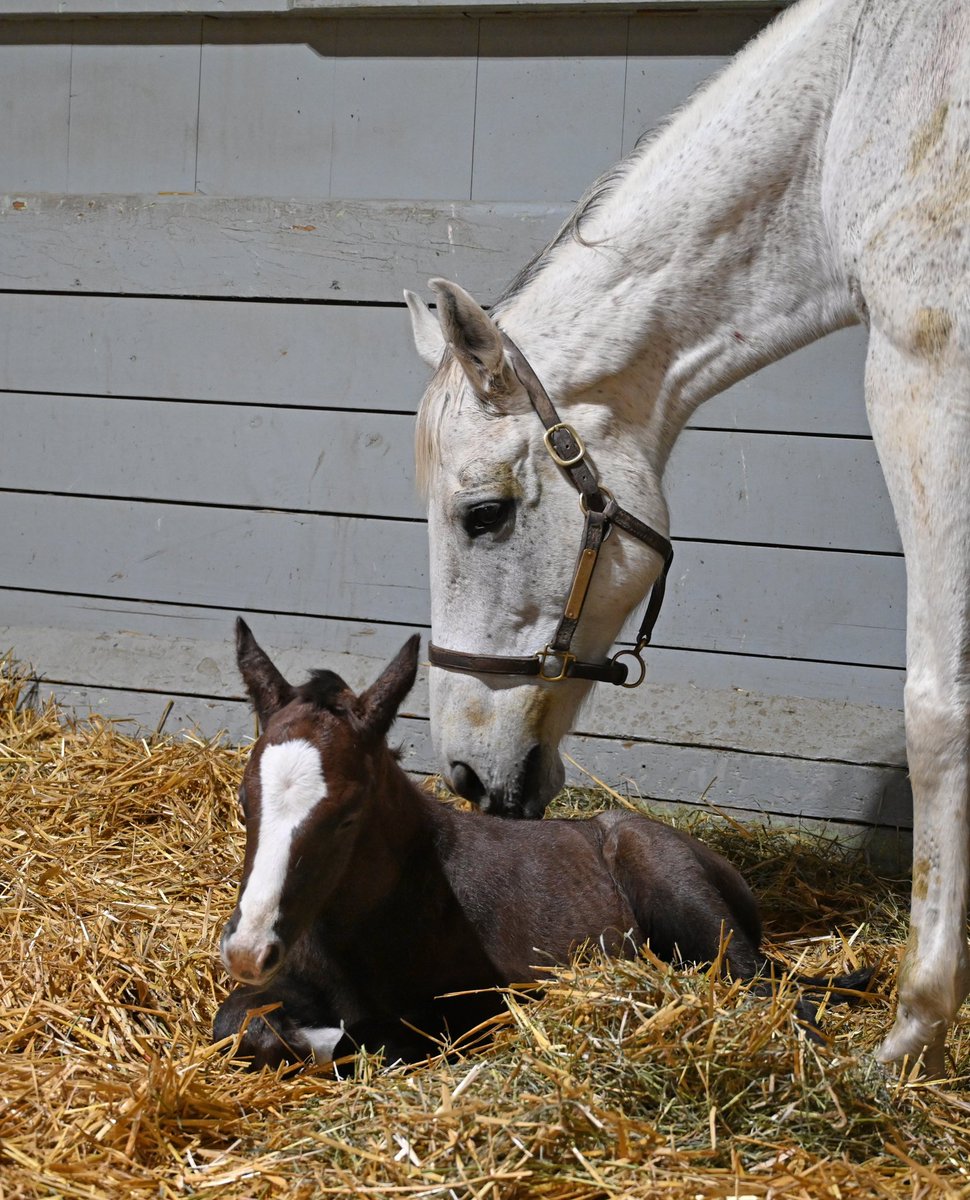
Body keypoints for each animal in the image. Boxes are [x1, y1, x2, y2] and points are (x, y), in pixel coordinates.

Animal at [214, 619, 868, 1068]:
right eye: (245, 801)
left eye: (348, 815)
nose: (249, 950)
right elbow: (234, 1022)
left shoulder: (476, 1003)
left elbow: (383, 1037)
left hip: (686, 897)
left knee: (777, 997)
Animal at [404, 0, 969, 1073]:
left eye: (483, 514)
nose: (459, 772)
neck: (852, 108)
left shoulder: (926, 373)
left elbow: (938, 710)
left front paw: (916, 1024)